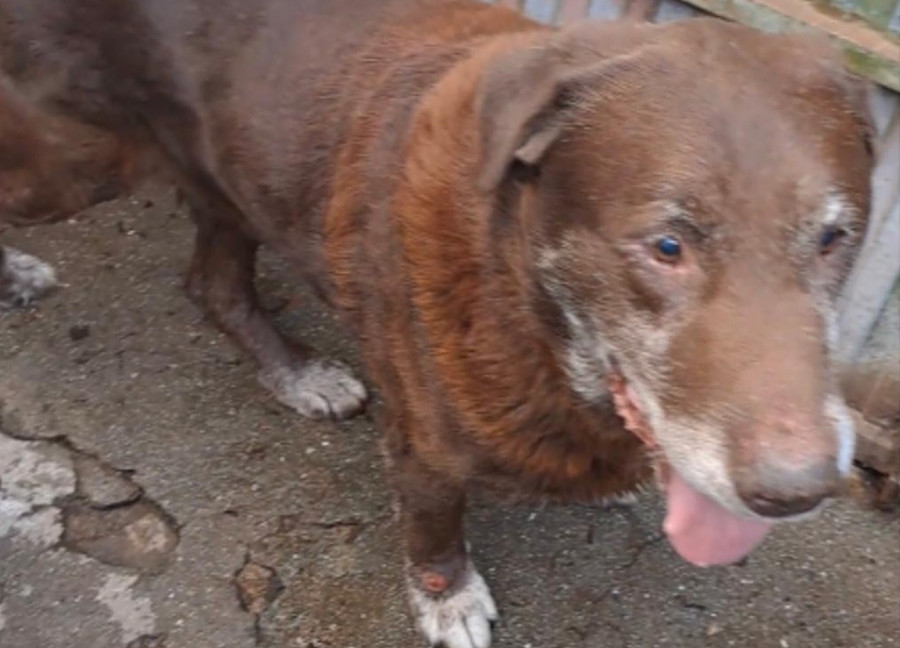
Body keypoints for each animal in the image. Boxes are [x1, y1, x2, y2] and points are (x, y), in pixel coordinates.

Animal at [0, 1, 872, 648]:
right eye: (666, 246)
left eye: (835, 238)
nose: (796, 492)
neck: (526, 305)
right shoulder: (423, 445)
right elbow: (433, 528)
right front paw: (447, 597)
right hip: (72, 167)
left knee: (212, 286)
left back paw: (297, 373)